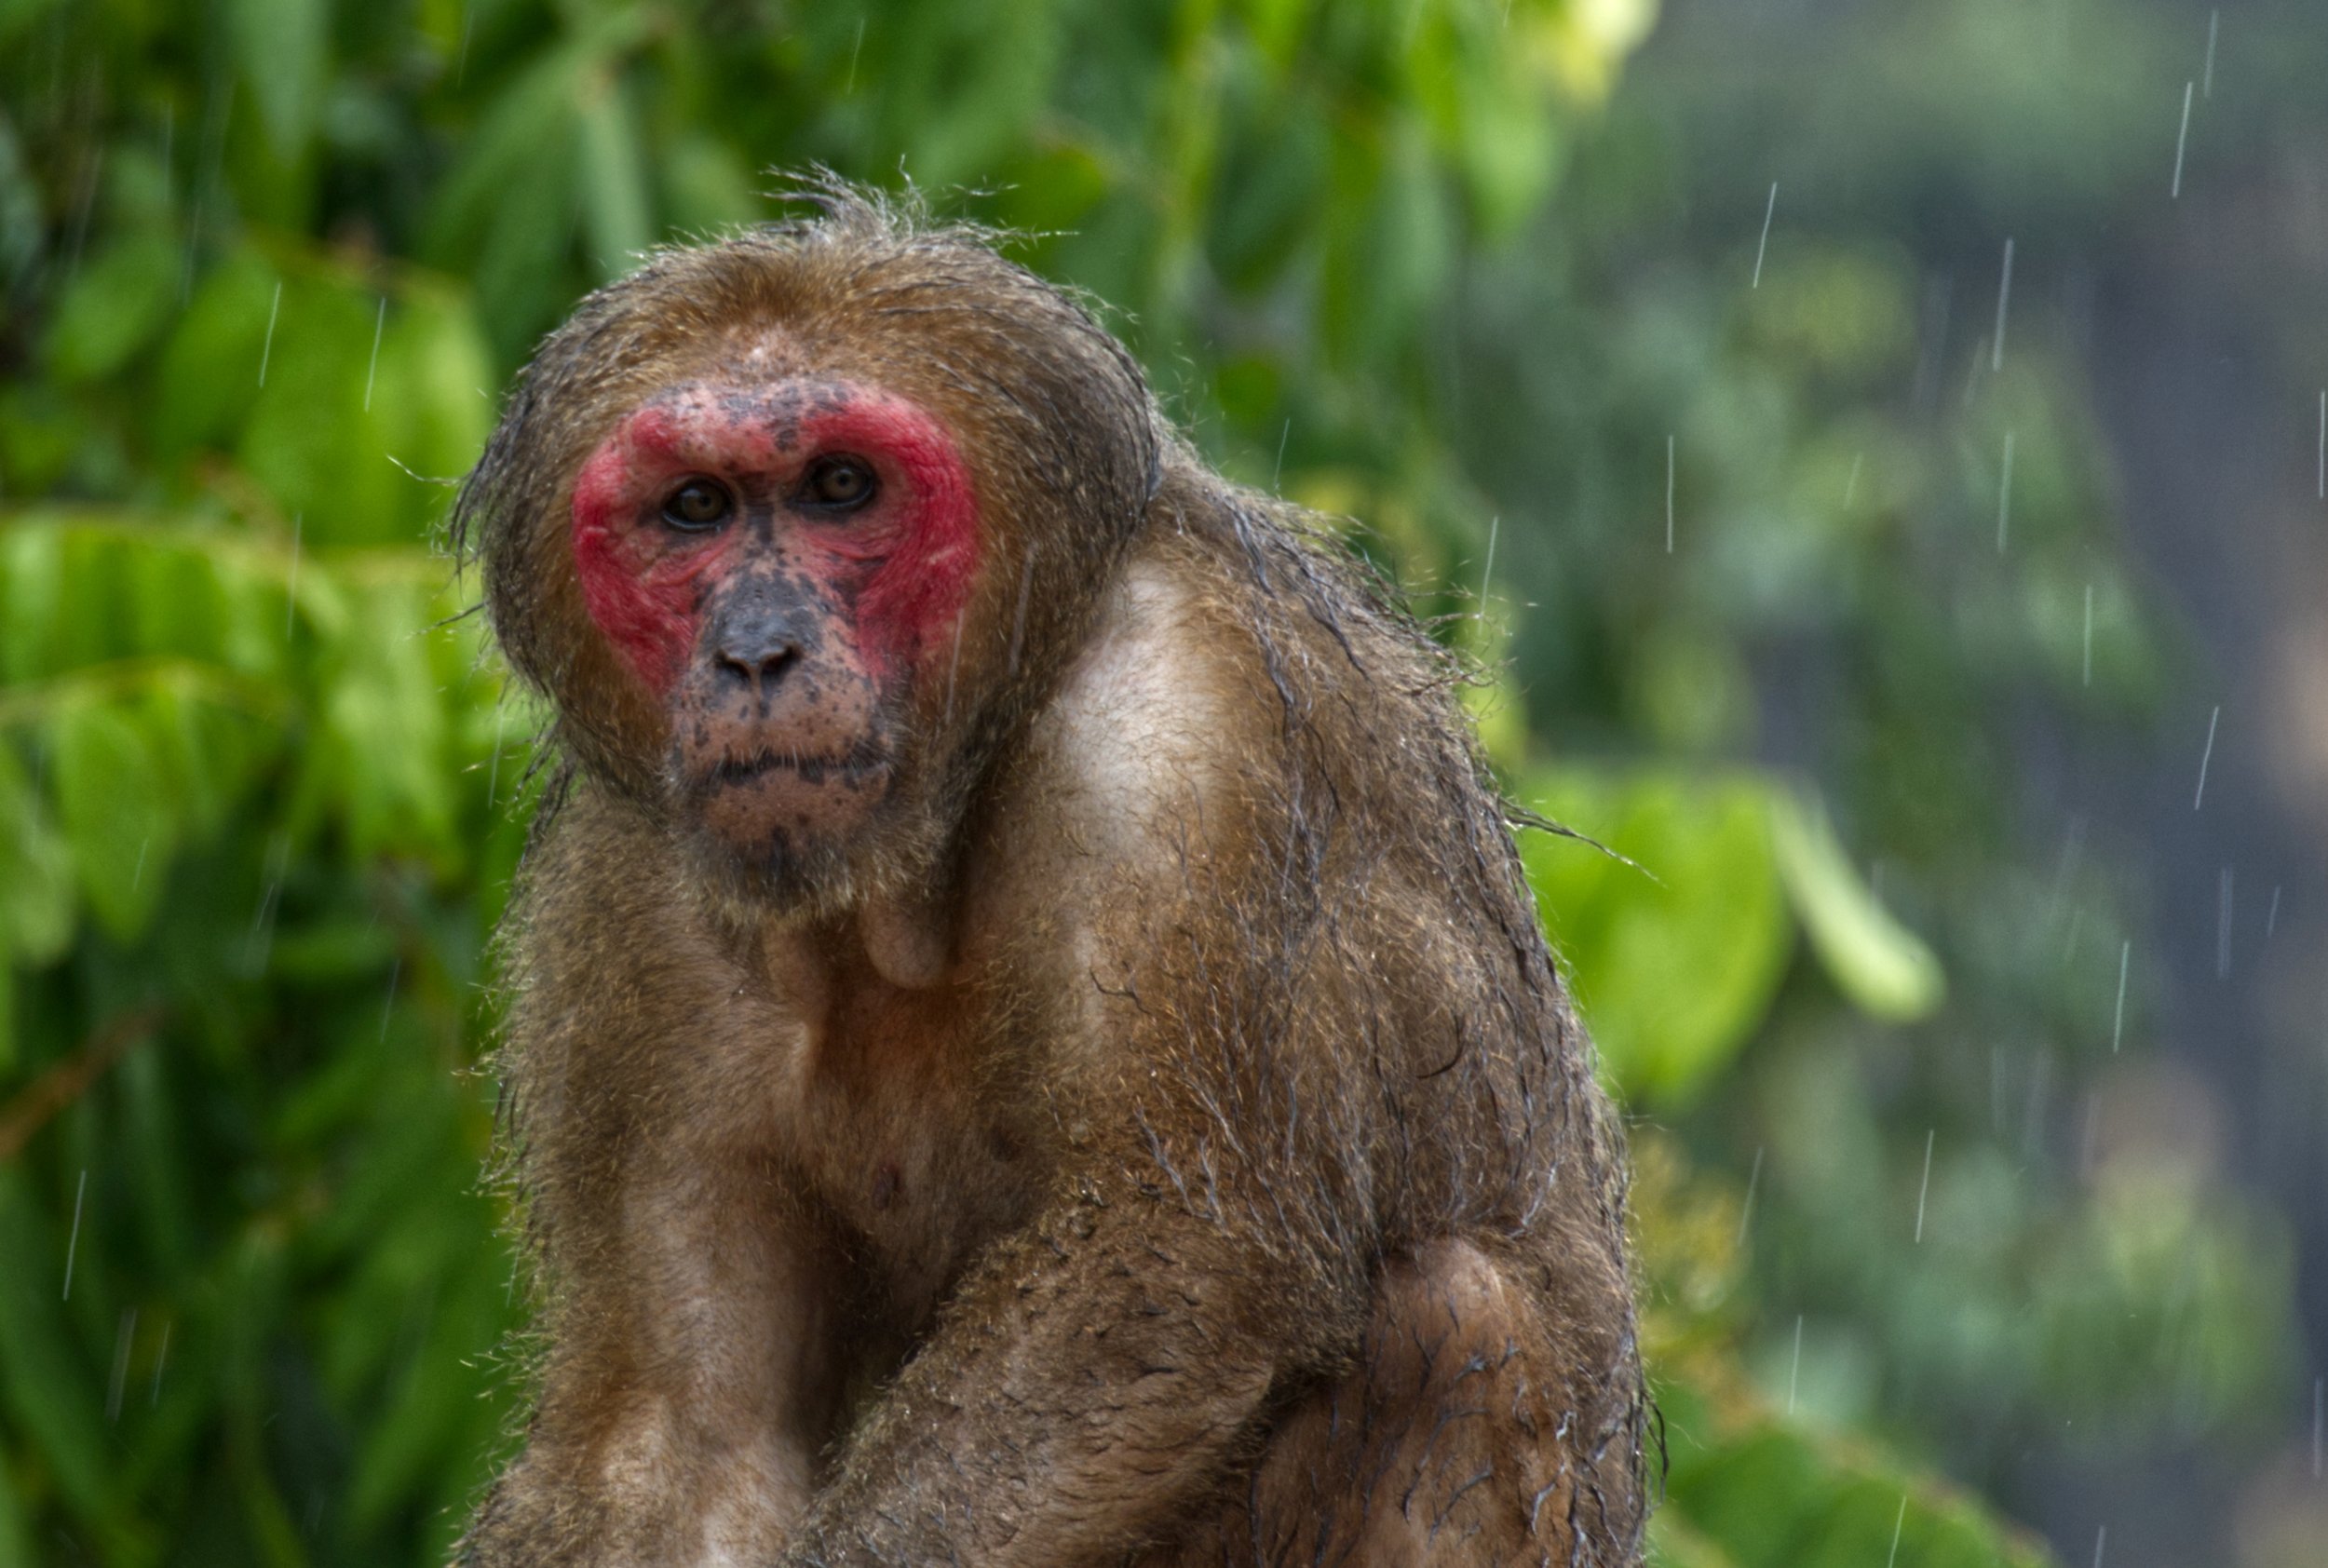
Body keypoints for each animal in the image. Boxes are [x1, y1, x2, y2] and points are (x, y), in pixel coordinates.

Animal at [450, 187, 1647, 1568]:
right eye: (693, 508)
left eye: (839, 487)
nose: (754, 652)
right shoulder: (628, 904)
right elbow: (683, 1432)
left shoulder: (1185, 731)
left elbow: (1167, 1265)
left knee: (1457, 1318)